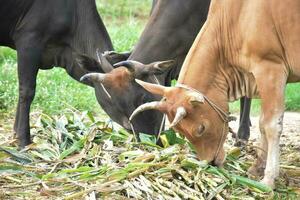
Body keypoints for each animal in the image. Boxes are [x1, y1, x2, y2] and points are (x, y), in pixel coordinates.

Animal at [0, 0, 132, 147]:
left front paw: (15, 135)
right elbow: (27, 91)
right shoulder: (28, 40)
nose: (132, 126)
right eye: (112, 94)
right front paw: (23, 140)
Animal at [129, 0, 300, 188]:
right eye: (181, 131)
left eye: (201, 128)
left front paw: (268, 178)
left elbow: (271, 125)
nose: (211, 162)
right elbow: (262, 123)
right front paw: (257, 167)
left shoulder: (270, 69)